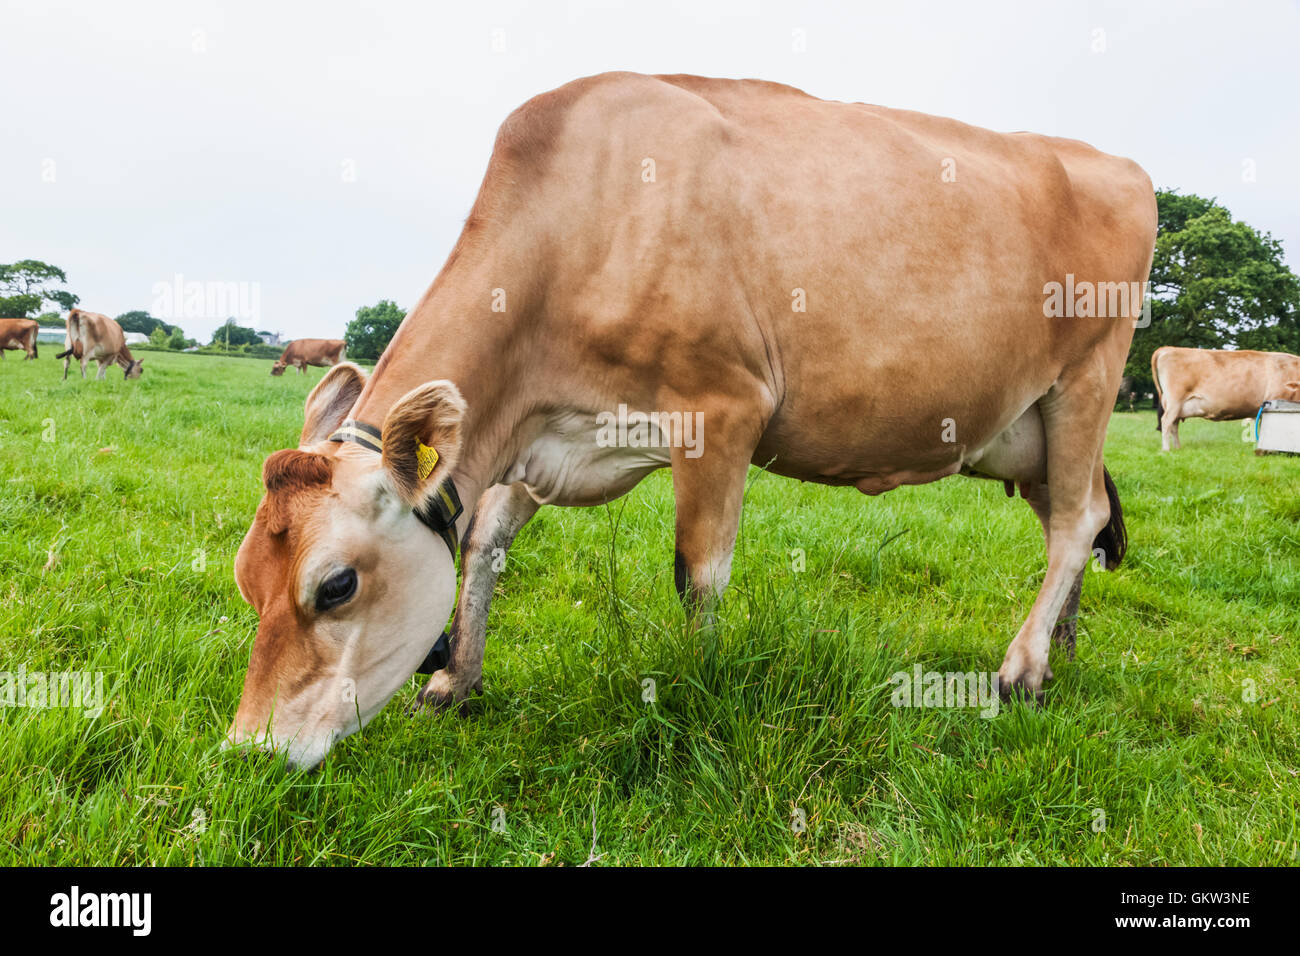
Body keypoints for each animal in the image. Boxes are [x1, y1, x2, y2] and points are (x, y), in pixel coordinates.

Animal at [226, 73, 1156, 769]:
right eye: (247, 583)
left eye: (335, 585)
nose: (246, 750)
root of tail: (1115, 164)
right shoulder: (547, 436)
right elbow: (486, 538)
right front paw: (456, 680)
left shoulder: (723, 407)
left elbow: (697, 573)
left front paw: (701, 687)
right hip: (1027, 429)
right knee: (1069, 518)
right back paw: (1063, 647)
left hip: (1087, 379)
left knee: (1076, 521)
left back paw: (1022, 670)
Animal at [1152, 346, 1300, 450]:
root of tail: (1168, 348)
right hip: (1175, 401)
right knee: (1166, 422)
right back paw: (1166, 449)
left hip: (1177, 406)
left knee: (1174, 425)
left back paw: (1178, 448)